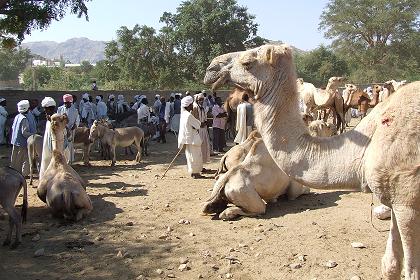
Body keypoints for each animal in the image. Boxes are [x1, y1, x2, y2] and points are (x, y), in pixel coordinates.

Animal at [206, 43, 420, 280]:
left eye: (247, 62)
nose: (211, 68)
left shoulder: (406, 203)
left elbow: (407, 270)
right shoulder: (398, 201)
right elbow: (391, 264)